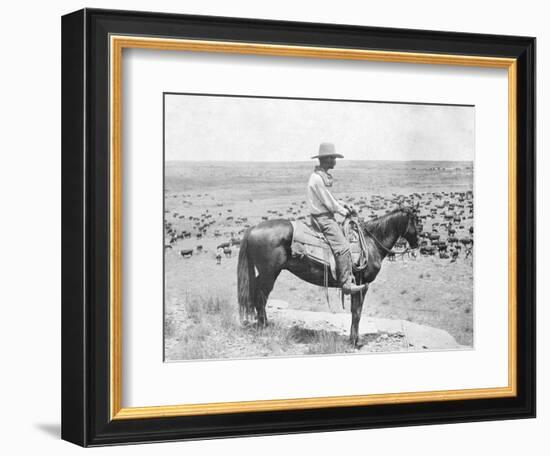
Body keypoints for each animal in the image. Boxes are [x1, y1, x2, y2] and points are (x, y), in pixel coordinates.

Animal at [238, 207, 422, 346]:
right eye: (416, 221)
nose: (416, 244)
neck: (371, 243)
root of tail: (253, 229)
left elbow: (355, 311)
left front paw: (353, 339)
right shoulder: (361, 285)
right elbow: (357, 312)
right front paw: (354, 342)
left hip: (264, 274)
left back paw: (263, 324)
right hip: (269, 274)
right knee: (261, 296)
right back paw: (264, 327)